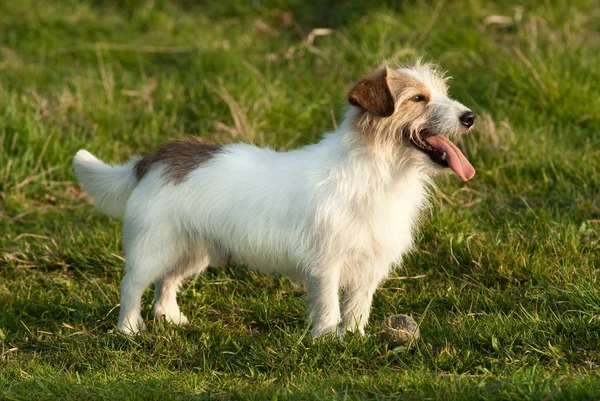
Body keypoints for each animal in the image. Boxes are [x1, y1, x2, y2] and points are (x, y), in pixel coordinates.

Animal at [72, 60, 476, 334]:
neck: (379, 172)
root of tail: (156, 157)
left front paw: (355, 338)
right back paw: (129, 329)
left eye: (443, 93)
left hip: (193, 250)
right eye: (418, 98)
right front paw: (326, 340)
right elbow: (329, 304)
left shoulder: (369, 267)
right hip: (152, 248)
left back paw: (171, 318)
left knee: (166, 283)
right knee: (133, 286)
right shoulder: (326, 263)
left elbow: (358, 307)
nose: (470, 116)